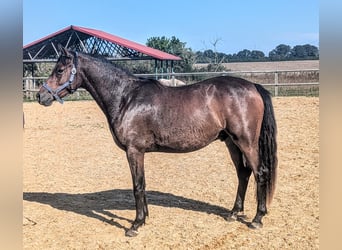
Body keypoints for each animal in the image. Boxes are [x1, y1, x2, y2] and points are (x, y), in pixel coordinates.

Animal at [36, 46, 276, 237]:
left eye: (59, 70)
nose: (40, 96)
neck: (125, 98)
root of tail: (253, 86)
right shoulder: (138, 152)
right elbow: (142, 184)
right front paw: (145, 218)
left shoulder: (134, 151)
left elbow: (137, 186)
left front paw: (136, 224)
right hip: (231, 143)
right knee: (243, 174)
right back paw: (234, 213)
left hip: (246, 142)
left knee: (260, 172)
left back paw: (257, 219)